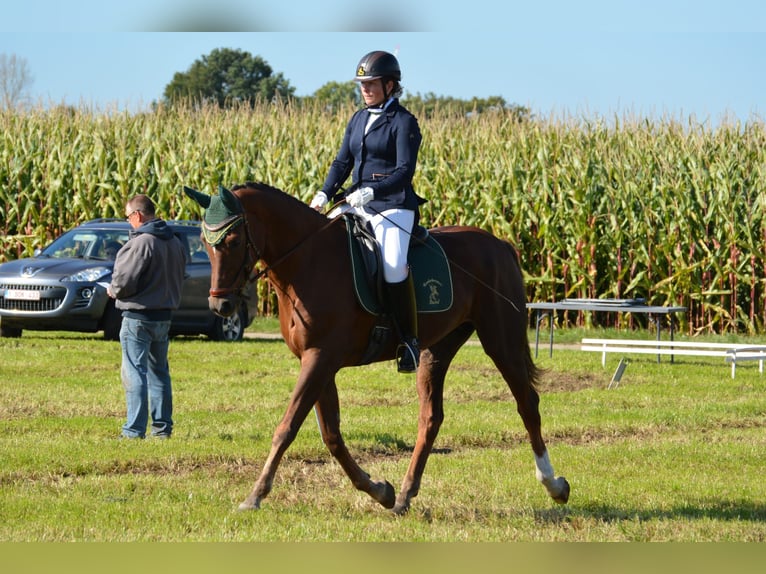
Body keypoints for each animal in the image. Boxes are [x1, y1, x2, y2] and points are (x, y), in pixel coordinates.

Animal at [184, 182, 568, 516]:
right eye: (204, 240)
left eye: (233, 240)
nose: (221, 307)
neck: (307, 260)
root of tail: (500, 244)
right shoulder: (318, 361)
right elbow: (332, 435)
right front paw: (380, 491)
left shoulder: (320, 358)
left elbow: (287, 427)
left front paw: (255, 495)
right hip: (435, 350)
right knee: (430, 417)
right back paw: (404, 496)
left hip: (501, 340)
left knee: (527, 403)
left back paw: (554, 484)